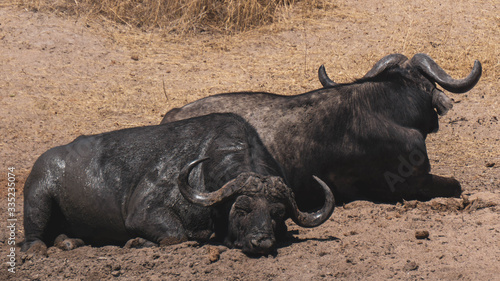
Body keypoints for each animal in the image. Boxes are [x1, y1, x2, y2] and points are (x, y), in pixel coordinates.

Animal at [23, 112, 336, 255]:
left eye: (276, 213)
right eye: (242, 208)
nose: (262, 242)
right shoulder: (144, 213)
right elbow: (178, 235)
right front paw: (137, 242)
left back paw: (69, 242)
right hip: (37, 196)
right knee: (32, 236)